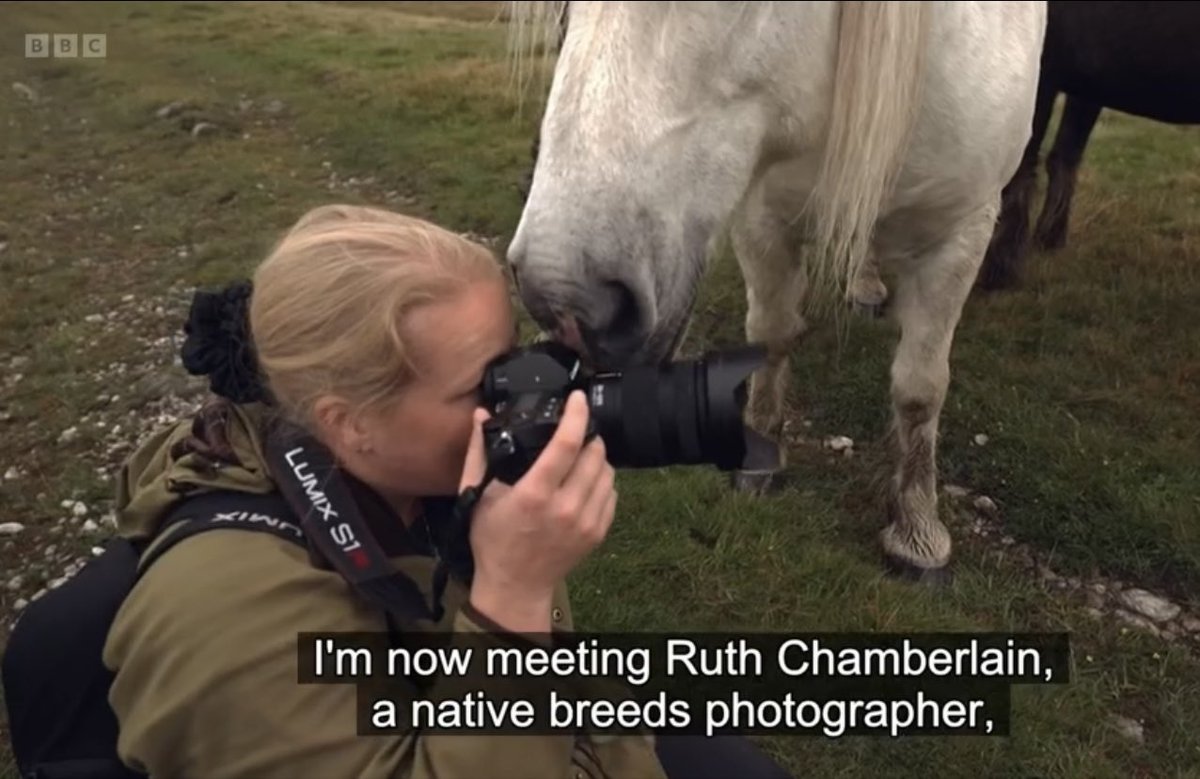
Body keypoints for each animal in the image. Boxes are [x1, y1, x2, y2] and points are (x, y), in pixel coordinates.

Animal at [506, 1, 1051, 583]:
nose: (564, 304)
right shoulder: (761, 213)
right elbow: (771, 336)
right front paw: (762, 455)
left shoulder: (963, 232)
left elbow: (920, 387)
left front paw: (917, 531)